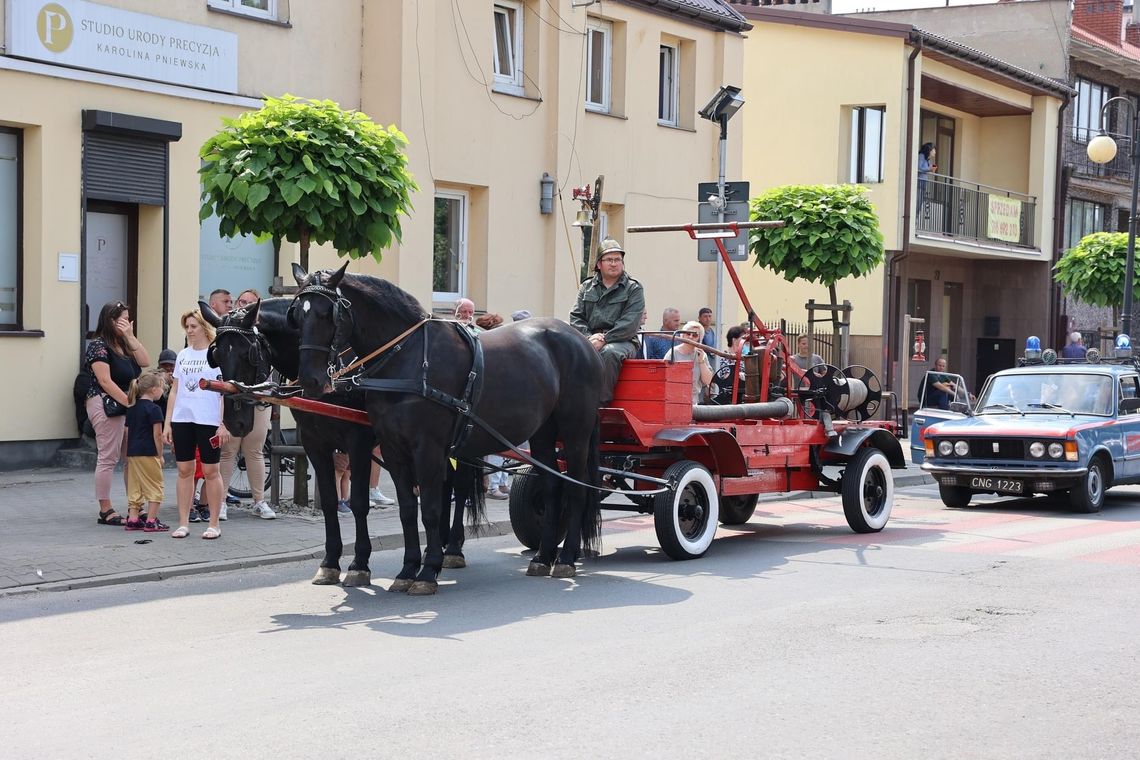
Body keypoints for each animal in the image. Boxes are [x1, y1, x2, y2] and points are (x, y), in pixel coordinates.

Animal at [289, 264, 601, 597]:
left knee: (576, 486)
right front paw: (407, 569)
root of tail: (582, 341)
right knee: (553, 485)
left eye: (327, 314)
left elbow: (430, 508)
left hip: (575, 431)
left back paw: (566, 557)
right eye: (297, 315)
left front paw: (427, 571)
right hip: (542, 433)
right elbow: (408, 509)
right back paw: (543, 557)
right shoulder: (391, 448)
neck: (408, 357)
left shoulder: (423, 447)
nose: (310, 380)